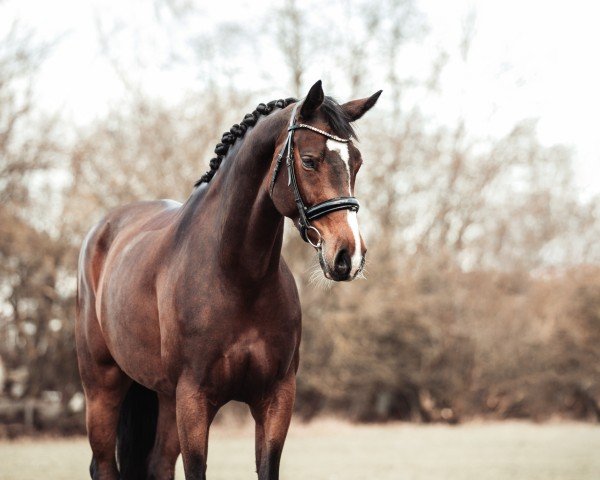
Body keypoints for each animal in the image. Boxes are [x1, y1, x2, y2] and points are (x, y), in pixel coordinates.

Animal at [76, 80, 380, 478]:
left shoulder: (275, 399)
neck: (237, 278)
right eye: (309, 160)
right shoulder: (194, 400)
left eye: (356, 163)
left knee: (157, 464)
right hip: (103, 389)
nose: (349, 255)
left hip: (164, 397)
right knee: (102, 464)